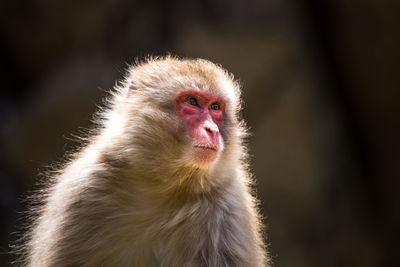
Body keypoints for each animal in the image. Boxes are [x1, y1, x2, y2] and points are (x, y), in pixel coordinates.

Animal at [17, 56, 270, 267]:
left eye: (215, 107)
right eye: (192, 102)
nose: (212, 130)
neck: (169, 185)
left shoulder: (228, 207)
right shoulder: (84, 191)